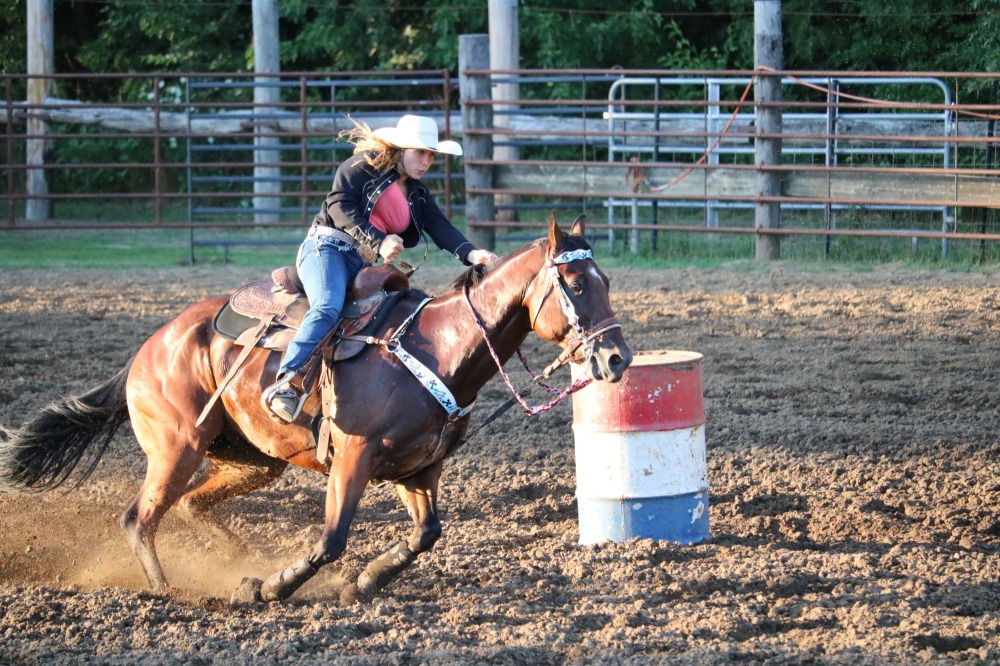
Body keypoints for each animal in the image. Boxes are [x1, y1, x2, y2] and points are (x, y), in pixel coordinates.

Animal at [0, 215, 628, 604]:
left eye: (606, 278)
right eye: (574, 283)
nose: (617, 357)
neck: (437, 349)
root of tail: (150, 346)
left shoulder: (419, 468)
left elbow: (426, 534)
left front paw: (364, 582)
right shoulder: (354, 454)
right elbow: (331, 539)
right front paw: (272, 587)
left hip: (252, 460)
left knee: (191, 506)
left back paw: (239, 559)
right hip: (178, 447)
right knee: (139, 518)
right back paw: (169, 590)